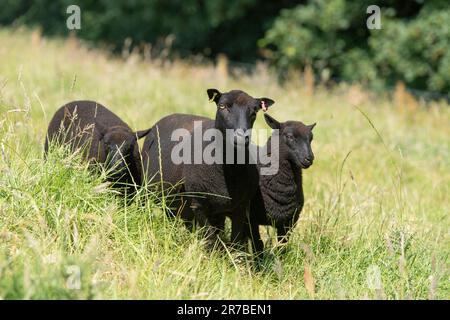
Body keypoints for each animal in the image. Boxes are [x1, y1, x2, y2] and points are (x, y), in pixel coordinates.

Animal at [246, 114, 316, 254]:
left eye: (311, 138)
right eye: (289, 136)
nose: (309, 158)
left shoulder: (289, 221)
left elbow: (282, 246)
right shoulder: (251, 218)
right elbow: (258, 245)